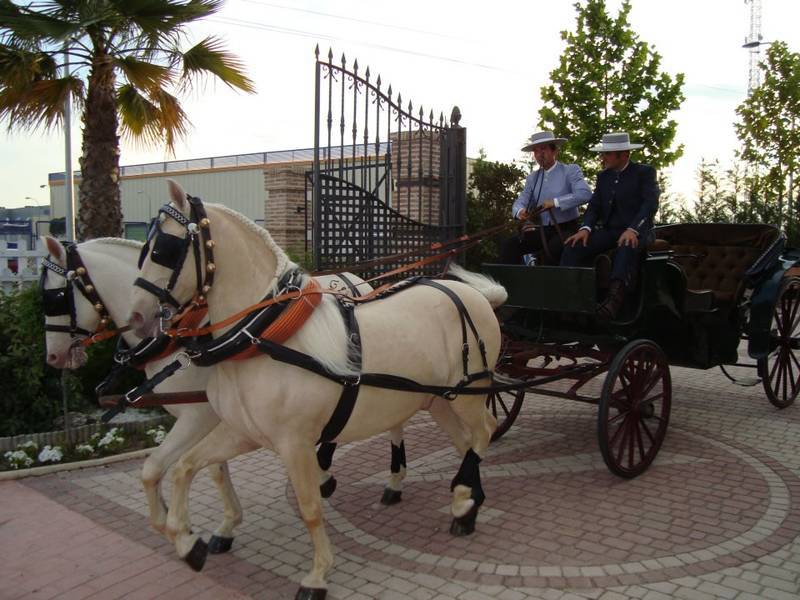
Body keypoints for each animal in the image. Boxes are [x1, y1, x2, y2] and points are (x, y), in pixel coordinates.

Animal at [40, 234, 406, 564]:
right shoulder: (211, 417)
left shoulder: (200, 416)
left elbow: (162, 467)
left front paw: (192, 534)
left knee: (391, 421)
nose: (53, 358)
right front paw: (207, 526)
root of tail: (354, 279)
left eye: (55, 296)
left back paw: (389, 480)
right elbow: (206, 469)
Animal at [129, 180, 506, 596]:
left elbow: (310, 507)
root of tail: (475, 295)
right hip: (436, 399)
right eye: (144, 247)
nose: (136, 316)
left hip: (469, 392)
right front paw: (185, 540)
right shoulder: (242, 433)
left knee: (485, 430)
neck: (262, 337)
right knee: (465, 442)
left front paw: (318, 575)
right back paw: (466, 503)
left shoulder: (294, 443)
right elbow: (183, 467)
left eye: (164, 248)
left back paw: (463, 496)